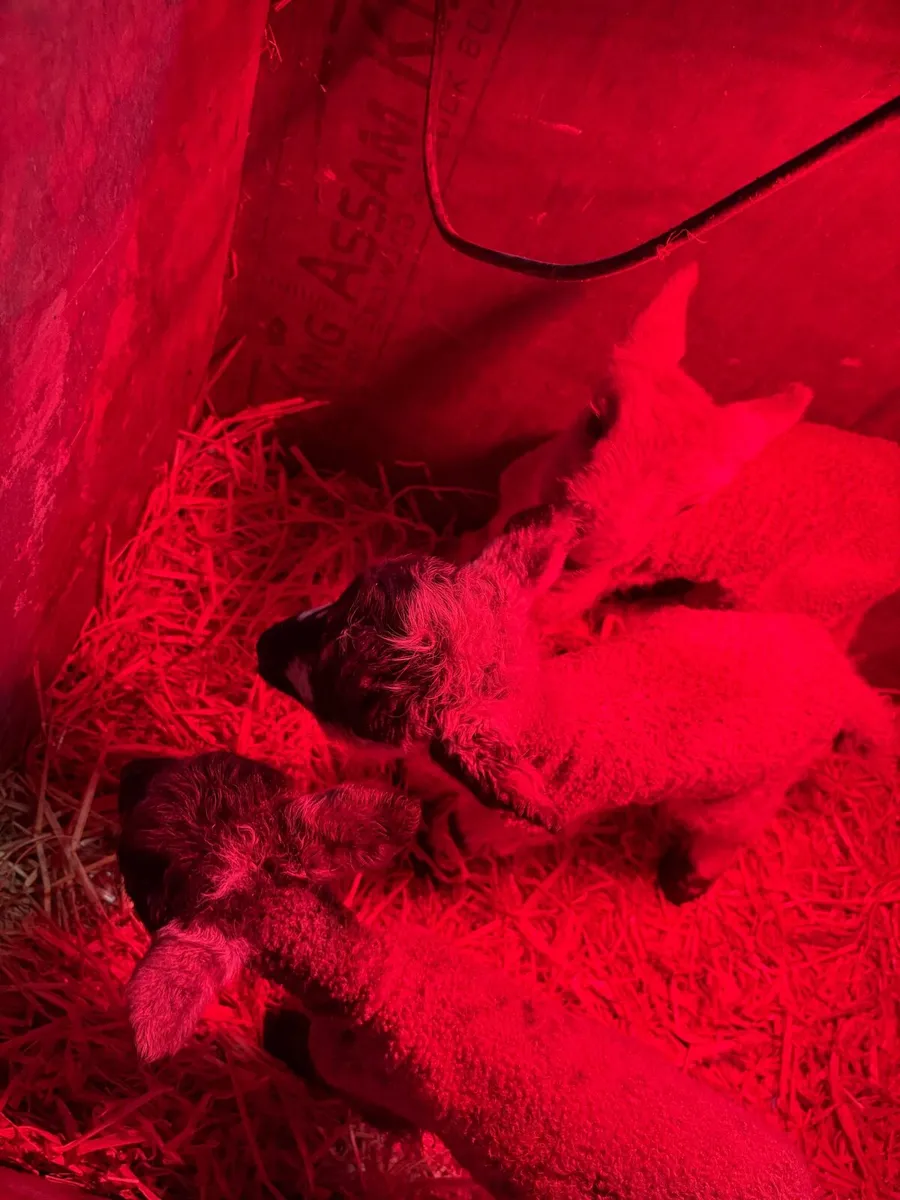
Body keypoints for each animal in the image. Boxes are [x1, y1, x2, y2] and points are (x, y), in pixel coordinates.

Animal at [255, 509, 896, 902]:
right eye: (347, 592)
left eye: (361, 697)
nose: (264, 646)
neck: (551, 714)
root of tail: (841, 676)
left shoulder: (503, 824)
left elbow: (458, 833)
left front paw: (432, 858)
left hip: (754, 786)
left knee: (729, 829)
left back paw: (686, 880)